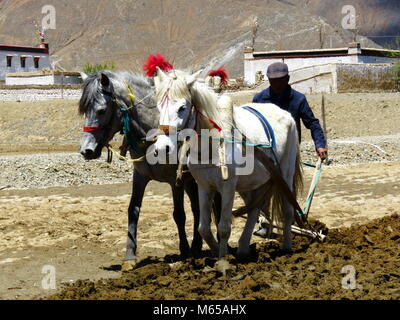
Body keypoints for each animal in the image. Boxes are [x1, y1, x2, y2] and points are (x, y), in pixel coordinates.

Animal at [78, 70, 205, 270]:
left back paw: (196, 247)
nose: (86, 150)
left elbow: (179, 214)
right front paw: (129, 257)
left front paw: (184, 251)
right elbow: (133, 211)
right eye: (84, 111)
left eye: (101, 110)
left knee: (198, 208)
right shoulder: (140, 176)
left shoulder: (174, 181)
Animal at [152, 68, 302, 260]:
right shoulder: (204, 186)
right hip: (254, 181)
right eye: (159, 106)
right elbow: (204, 228)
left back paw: (287, 247)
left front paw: (223, 260)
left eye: (182, 108)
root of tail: (285, 114)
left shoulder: (228, 186)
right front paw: (218, 252)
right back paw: (243, 248)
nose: (162, 148)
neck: (212, 145)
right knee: (254, 208)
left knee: (288, 209)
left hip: (285, 174)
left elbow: (223, 227)